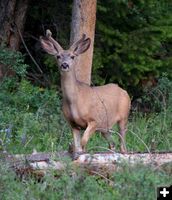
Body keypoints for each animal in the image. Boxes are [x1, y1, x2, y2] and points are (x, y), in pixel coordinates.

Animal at [39, 30, 130, 158]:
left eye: (72, 56)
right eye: (58, 56)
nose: (65, 65)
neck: (74, 101)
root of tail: (123, 91)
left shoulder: (94, 120)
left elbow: (83, 142)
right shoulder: (72, 123)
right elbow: (77, 146)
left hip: (123, 116)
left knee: (123, 141)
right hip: (105, 127)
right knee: (112, 143)